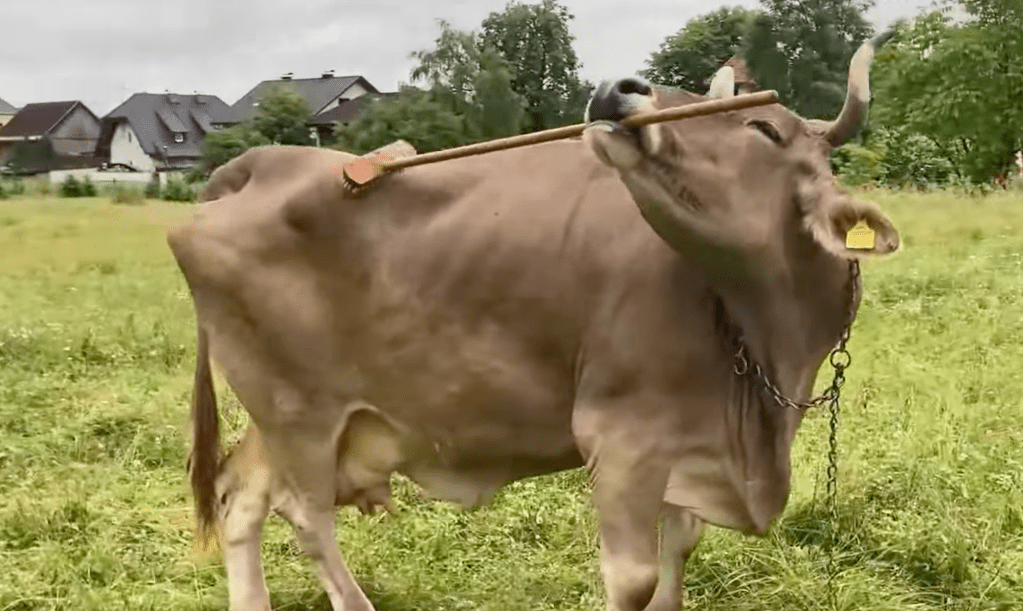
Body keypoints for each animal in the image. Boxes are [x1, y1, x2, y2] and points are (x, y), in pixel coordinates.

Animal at [167, 31, 899, 611]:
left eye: (763, 129)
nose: (615, 89)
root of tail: (260, 161)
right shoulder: (621, 437)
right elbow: (633, 579)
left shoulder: (687, 445)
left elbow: (679, 553)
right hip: (298, 413)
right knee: (307, 516)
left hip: (286, 411)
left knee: (241, 497)